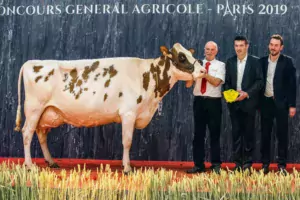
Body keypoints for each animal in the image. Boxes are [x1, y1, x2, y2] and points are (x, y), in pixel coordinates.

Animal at [14, 43, 206, 173]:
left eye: (191, 54)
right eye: (182, 57)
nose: (203, 71)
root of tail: (31, 62)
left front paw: (125, 164)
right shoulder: (128, 113)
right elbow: (127, 141)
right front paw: (127, 167)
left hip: (46, 113)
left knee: (41, 134)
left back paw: (51, 161)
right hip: (33, 108)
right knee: (27, 133)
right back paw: (29, 165)